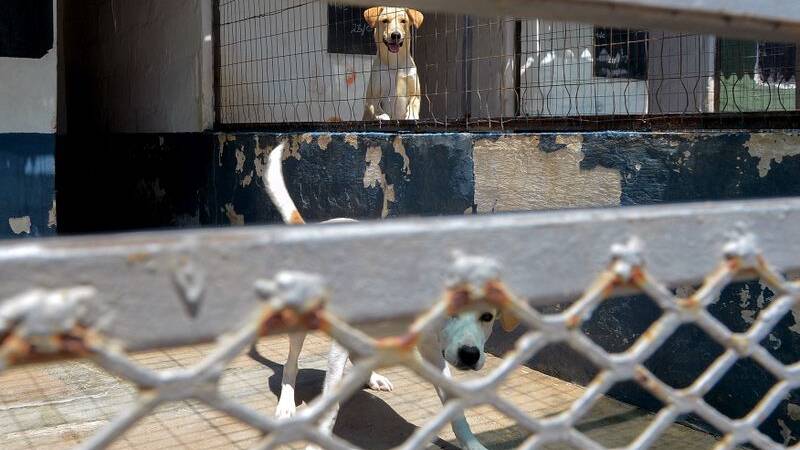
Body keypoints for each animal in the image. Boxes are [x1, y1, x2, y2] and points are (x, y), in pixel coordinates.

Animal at [263, 142, 520, 449]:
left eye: (487, 317)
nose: (470, 355)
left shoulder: (433, 350)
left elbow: (455, 408)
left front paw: (471, 442)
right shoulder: (340, 346)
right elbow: (331, 405)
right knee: (291, 364)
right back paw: (286, 404)